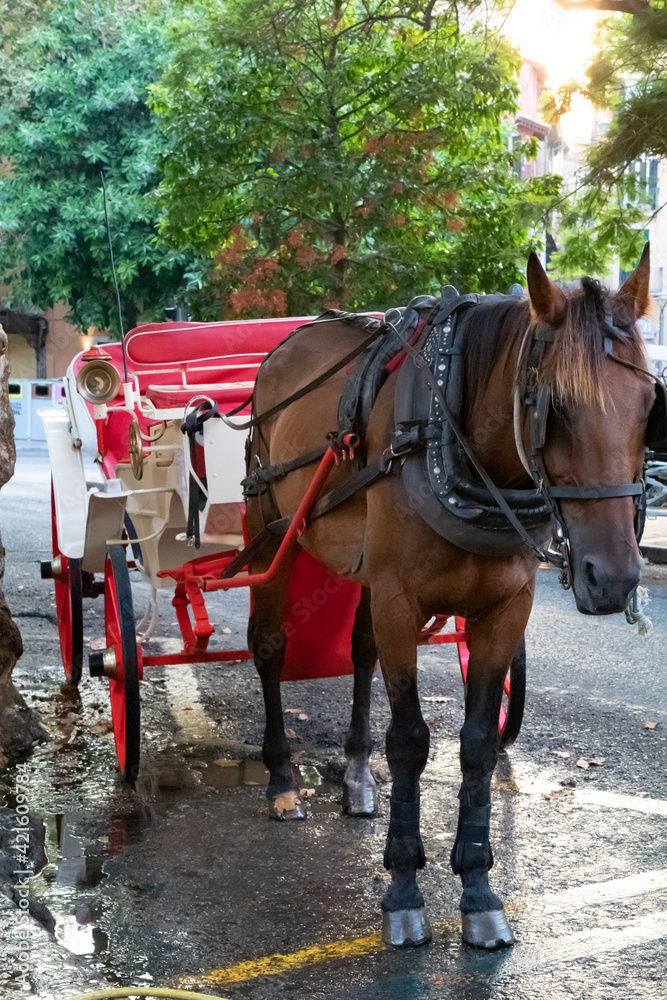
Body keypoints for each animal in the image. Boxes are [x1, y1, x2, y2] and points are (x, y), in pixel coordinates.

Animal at [243, 246, 656, 948]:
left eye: (651, 400)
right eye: (552, 406)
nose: (615, 578)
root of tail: (289, 341)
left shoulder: (505, 610)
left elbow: (479, 744)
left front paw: (479, 890)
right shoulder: (399, 599)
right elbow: (411, 741)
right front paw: (405, 888)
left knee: (360, 650)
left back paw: (357, 774)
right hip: (276, 530)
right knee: (270, 645)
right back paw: (281, 779)